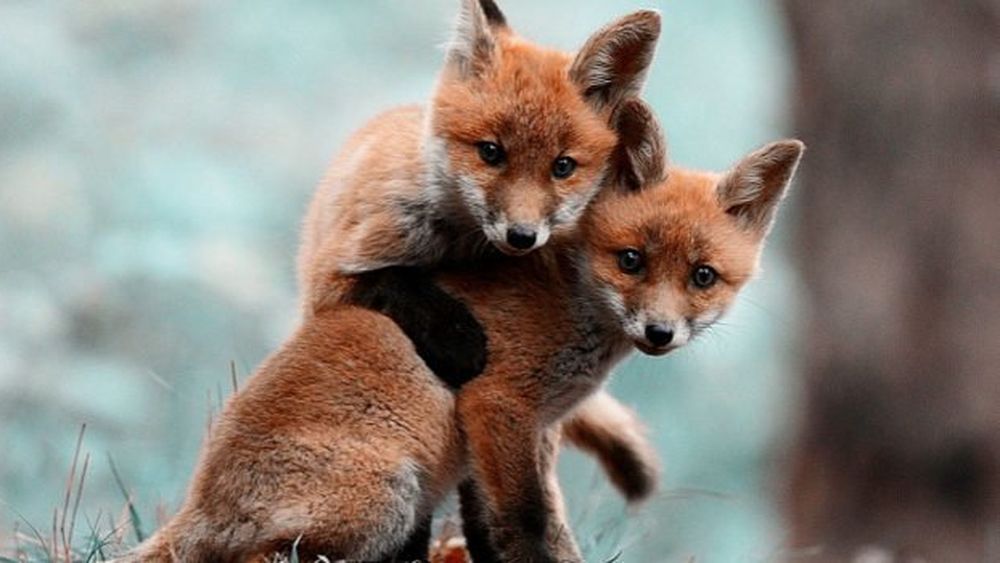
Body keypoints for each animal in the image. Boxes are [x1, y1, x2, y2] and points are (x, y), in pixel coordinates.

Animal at [120, 104, 804, 561]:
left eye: (702, 276)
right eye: (631, 260)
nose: (660, 332)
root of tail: (200, 502)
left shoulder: (527, 432)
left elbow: (513, 525)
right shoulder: (498, 406)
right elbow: (526, 522)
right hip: (387, 499)